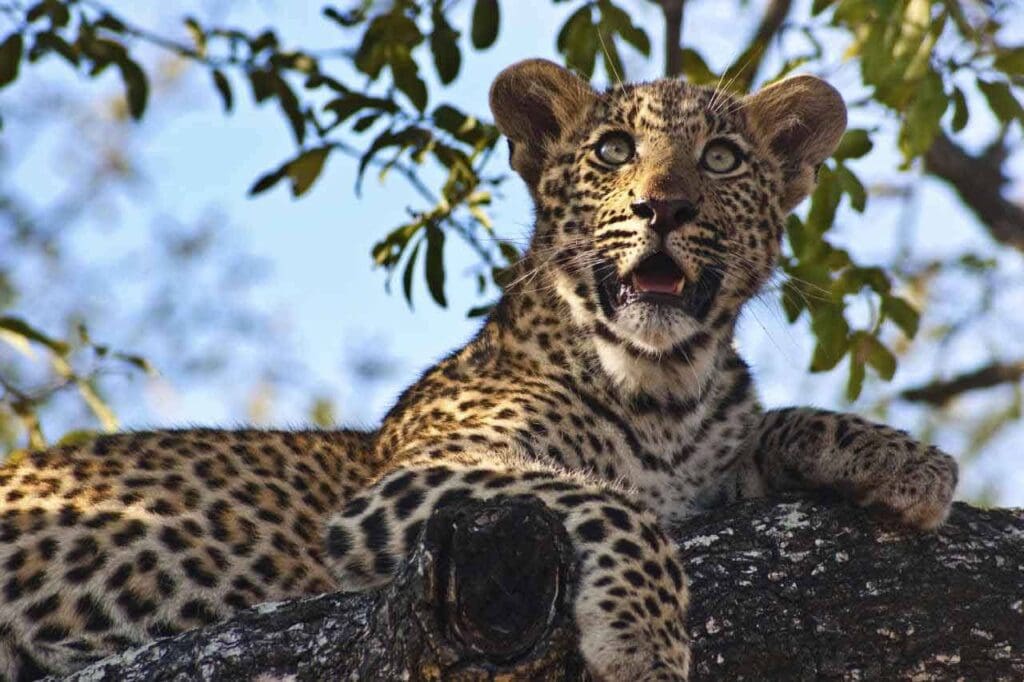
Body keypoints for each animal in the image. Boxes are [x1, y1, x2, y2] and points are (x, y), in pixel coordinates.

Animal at [0, 59, 958, 681]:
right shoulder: (417, 481)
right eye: (613, 151)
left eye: (721, 158)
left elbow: (768, 426)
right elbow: (603, 500)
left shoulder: (707, 471)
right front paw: (646, 638)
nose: (665, 206)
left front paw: (906, 461)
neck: (661, 390)